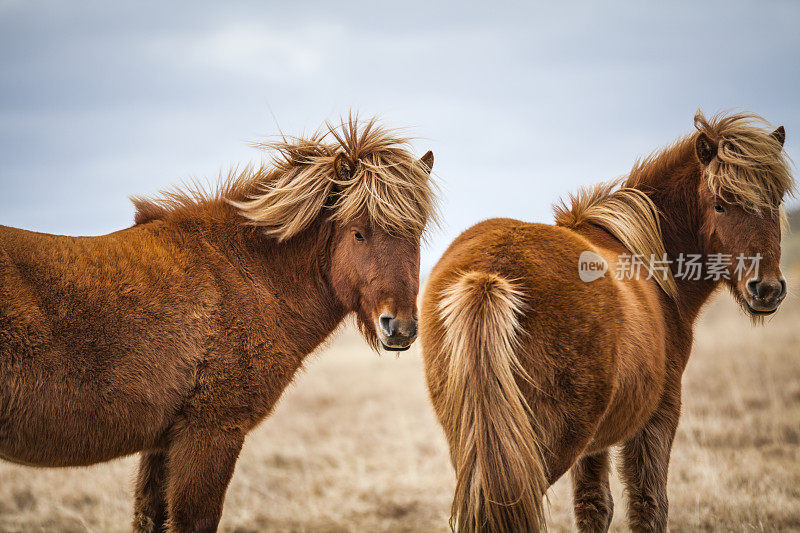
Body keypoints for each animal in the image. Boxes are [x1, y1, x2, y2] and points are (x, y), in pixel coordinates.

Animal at [0, 117, 434, 532]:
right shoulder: (210, 433)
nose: (399, 327)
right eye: (358, 233)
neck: (244, 273)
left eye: (416, 235)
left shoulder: (163, 443)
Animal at [422, 110, 792, 528]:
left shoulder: (594, 444)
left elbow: (594, 505)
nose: (766, 289)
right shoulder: (657, 418)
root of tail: (490, 275)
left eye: (777, 200)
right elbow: (648, 505)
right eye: (720, 204)